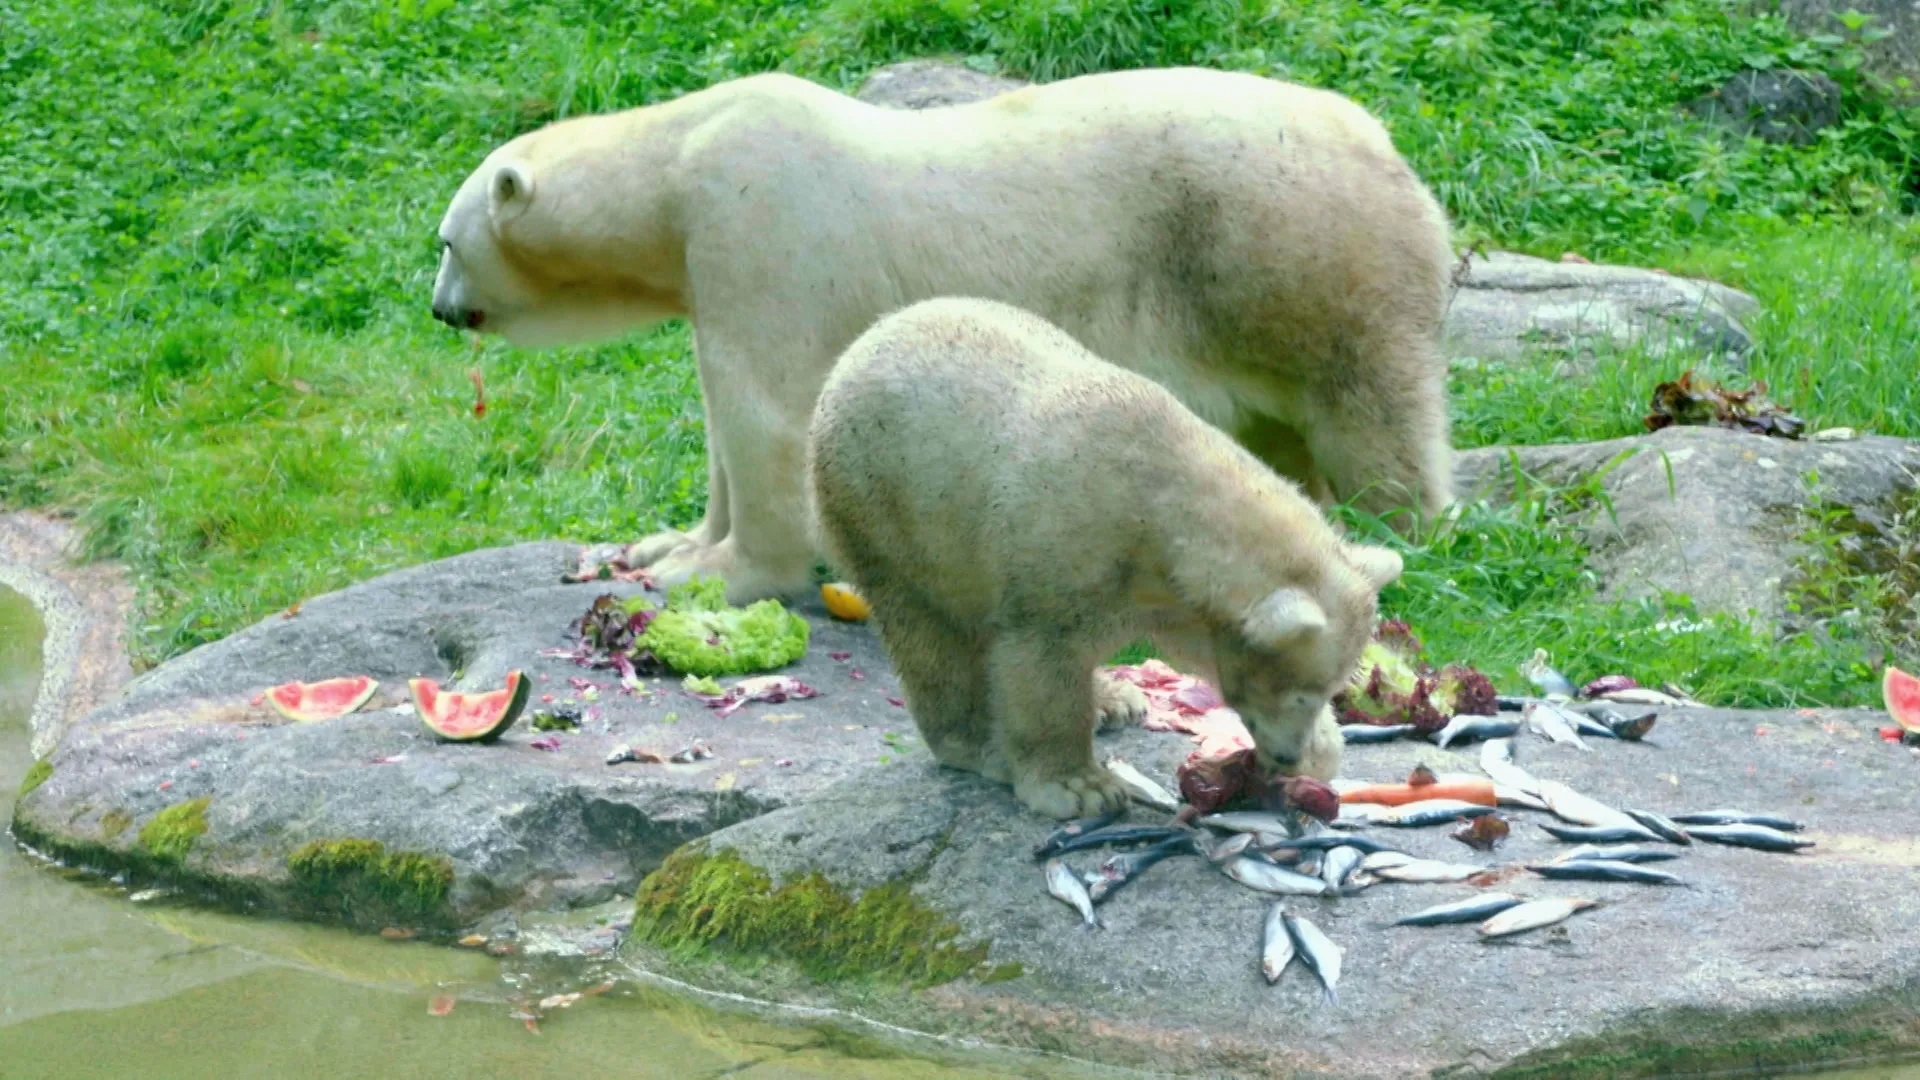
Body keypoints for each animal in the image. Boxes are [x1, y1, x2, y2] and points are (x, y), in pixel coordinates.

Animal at [430, 66, 1455, 606]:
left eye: (445, 242)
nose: (440, 309)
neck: (679, 164)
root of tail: (1391, 151)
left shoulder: (759, 227)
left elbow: (766, 415)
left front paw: (718, 573)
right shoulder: (706, 261)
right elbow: (723, 423)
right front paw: (665, 543)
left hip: (1295, 254)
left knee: (1368, 411)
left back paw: (1395, 527)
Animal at [806, 297, 1403, 820]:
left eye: (1330, 690)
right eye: (1298, 692)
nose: (1285, 755)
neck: (1159, 491)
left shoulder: (1165, 590)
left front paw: (1321, 751)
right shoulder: (1061, 555)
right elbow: (1039, 661)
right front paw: (1079, 787)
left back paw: (1113, 697)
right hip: (885, 507)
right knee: (928, 633)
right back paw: (979, 744)